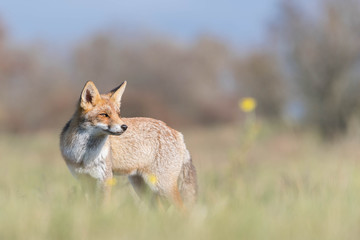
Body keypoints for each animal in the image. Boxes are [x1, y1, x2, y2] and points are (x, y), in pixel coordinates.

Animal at [60, 80, 198, 208]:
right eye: (104, 115)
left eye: (118, 114)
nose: (124, 127)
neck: (83, 156)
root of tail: (178, 133)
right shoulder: (84, 180)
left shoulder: (105, 178)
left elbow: (103, 207)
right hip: (143, 188)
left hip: (163, 186)